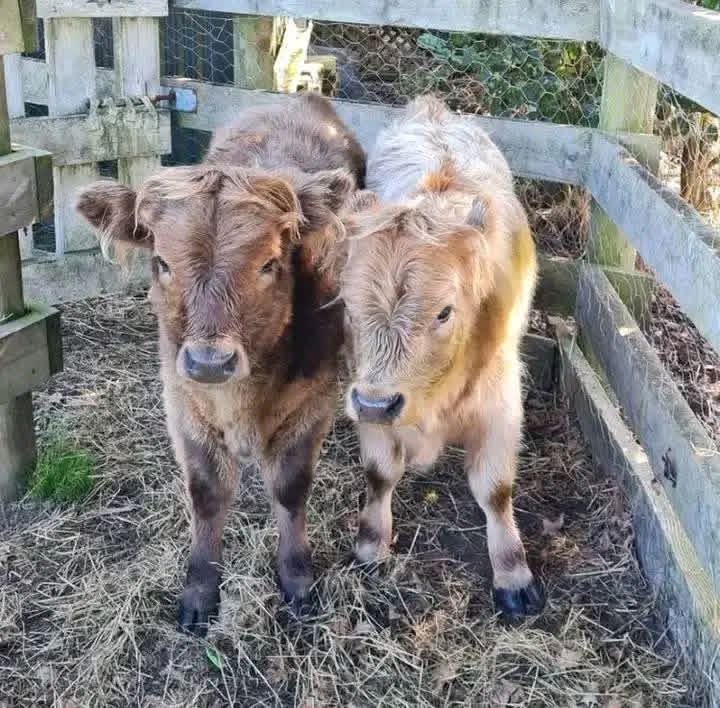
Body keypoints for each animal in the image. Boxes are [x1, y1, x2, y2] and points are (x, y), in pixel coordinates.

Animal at [76, 94, 365, 636]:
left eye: (270, 263)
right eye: (162, 263)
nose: (211, 362)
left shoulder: (314, 401)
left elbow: (290, 489)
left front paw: (296, 577)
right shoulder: (182, 400)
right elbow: (208, 494)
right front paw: (200, 590)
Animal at [339, 96, 544, 618]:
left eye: (445, 311)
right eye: (347, 304)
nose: (377, 404)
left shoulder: (501, 400)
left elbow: (495, 490)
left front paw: (513, 573)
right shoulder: (364, 388)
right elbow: (380, 474)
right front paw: (371, 545)